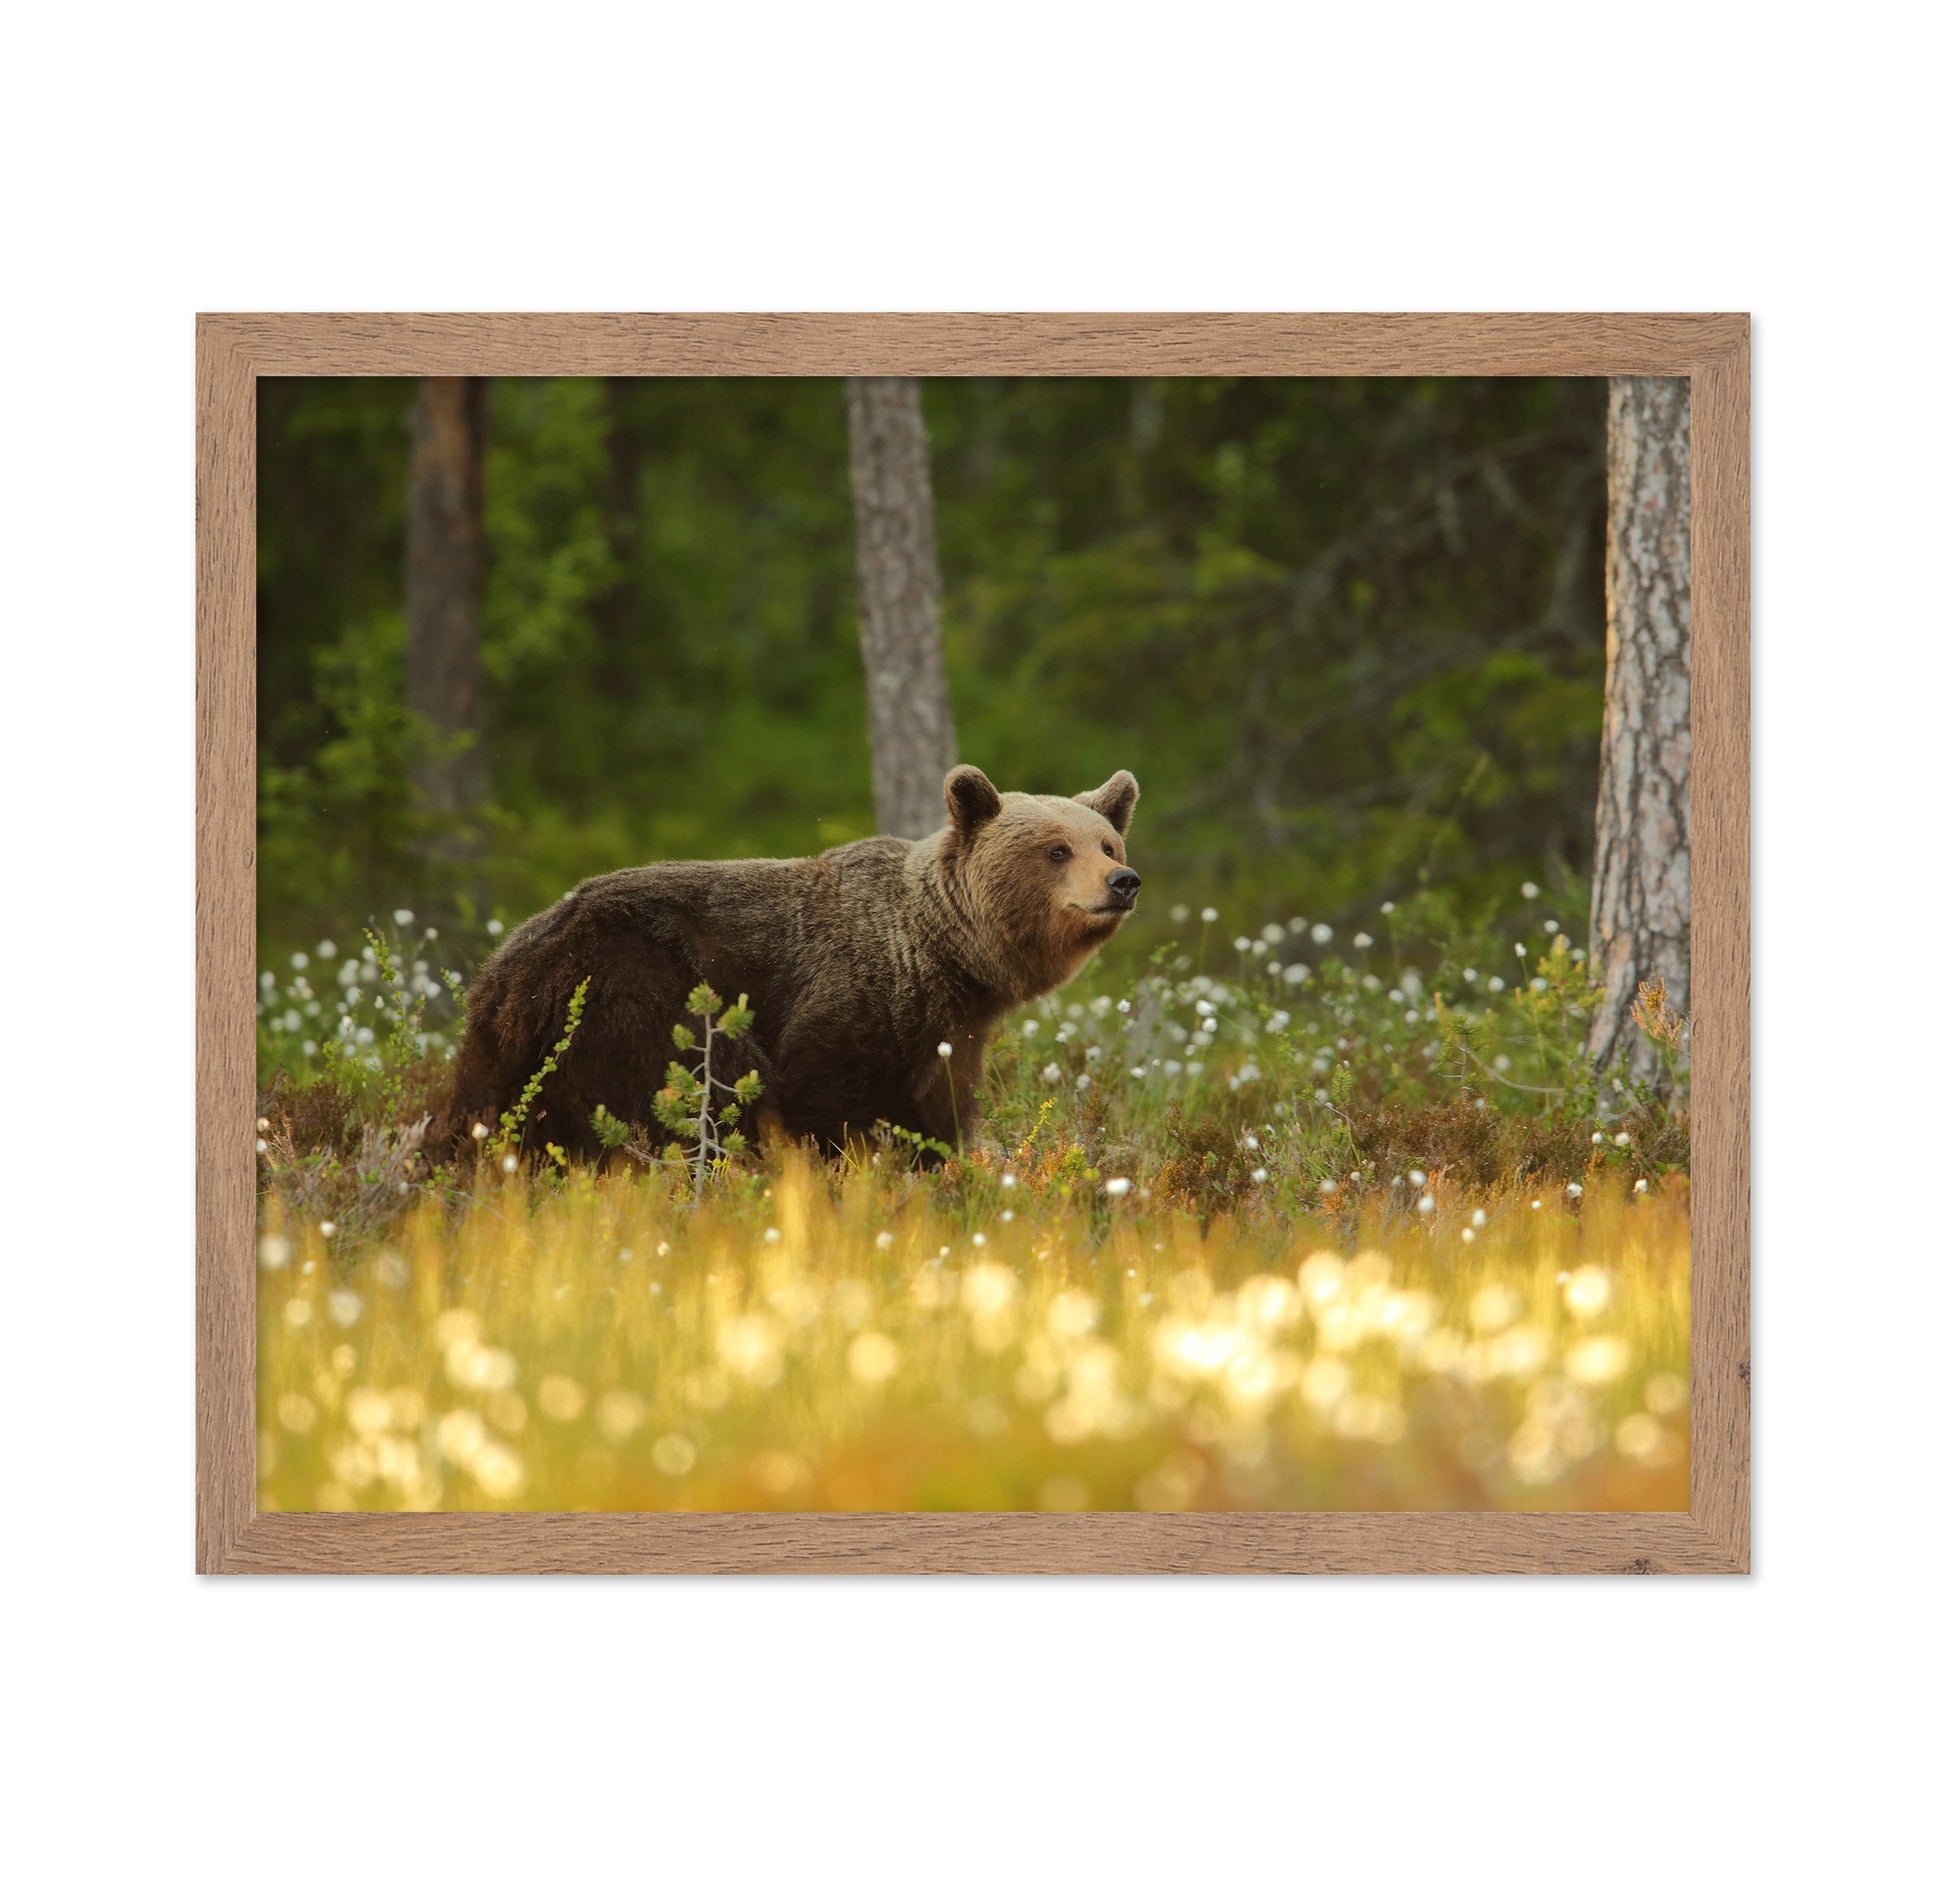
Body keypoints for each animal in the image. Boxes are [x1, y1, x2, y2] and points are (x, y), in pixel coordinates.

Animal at [445, 764, 1141, 1160]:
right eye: (1057, 850)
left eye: (1106, 843)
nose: (1123, 881)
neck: (945, 957)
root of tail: (510, 961)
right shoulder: (854, 997)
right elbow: (827, 1096)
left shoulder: (949, 1031)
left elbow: (938, 1108)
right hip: (636, 989)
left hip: (511, 1049)